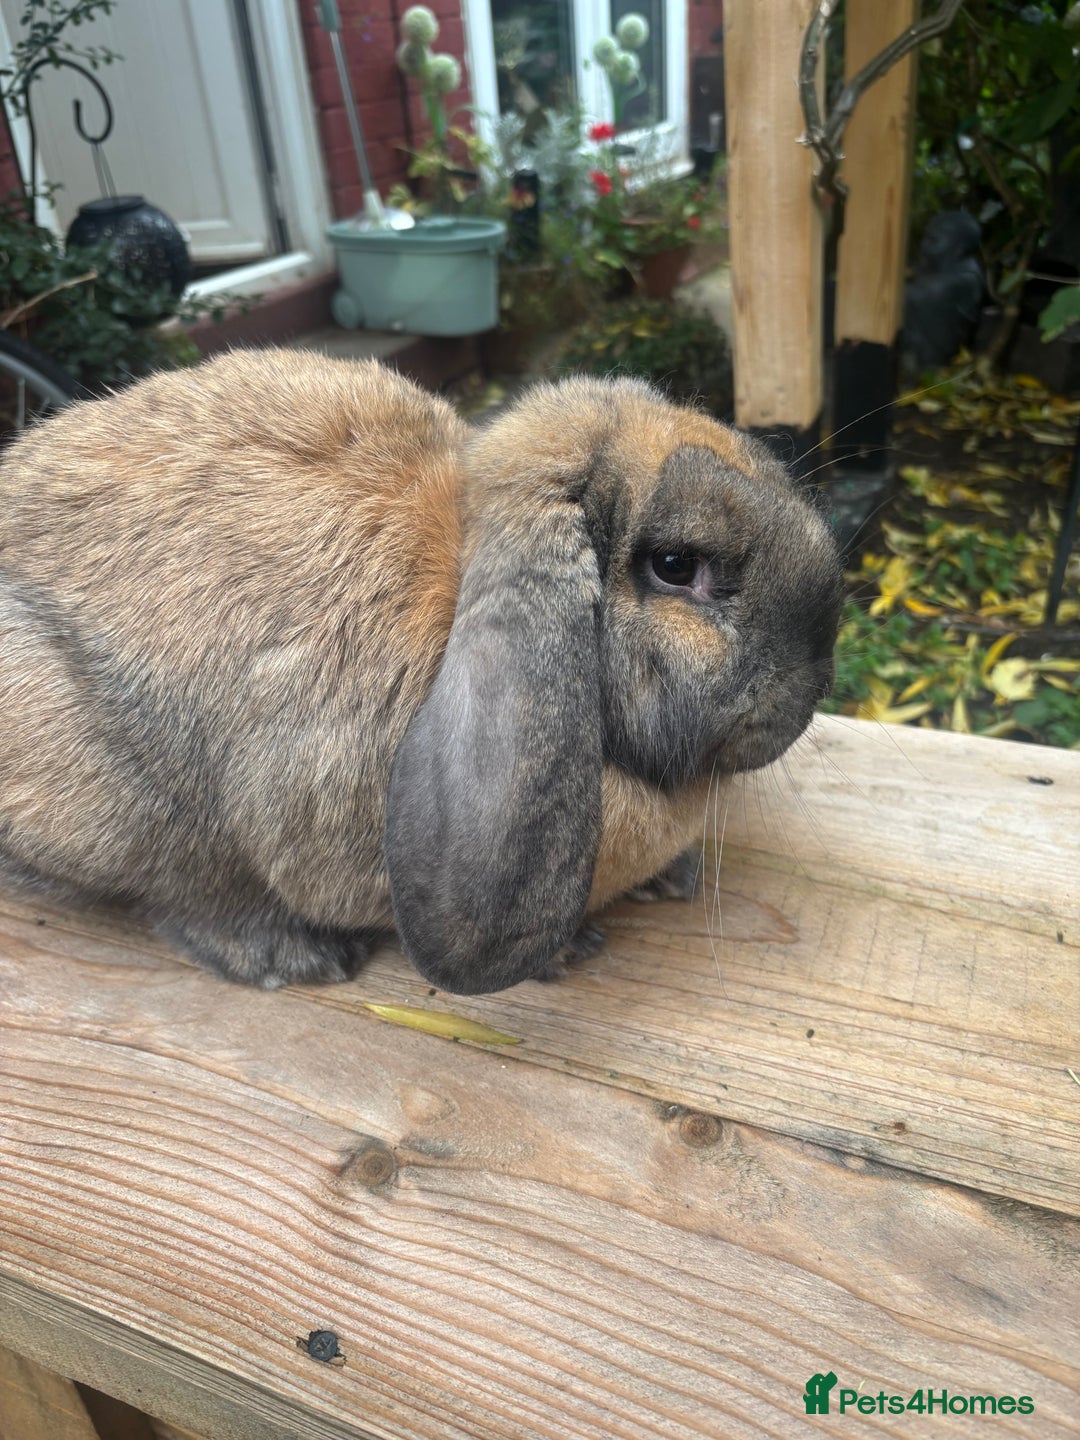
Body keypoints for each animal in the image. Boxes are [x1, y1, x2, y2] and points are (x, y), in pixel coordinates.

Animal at [0, 347, 841, 995]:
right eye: (676, 566)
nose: (816, 685)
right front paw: (567, 949)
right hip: (113, 809)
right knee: (173, 893)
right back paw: (296, 956)